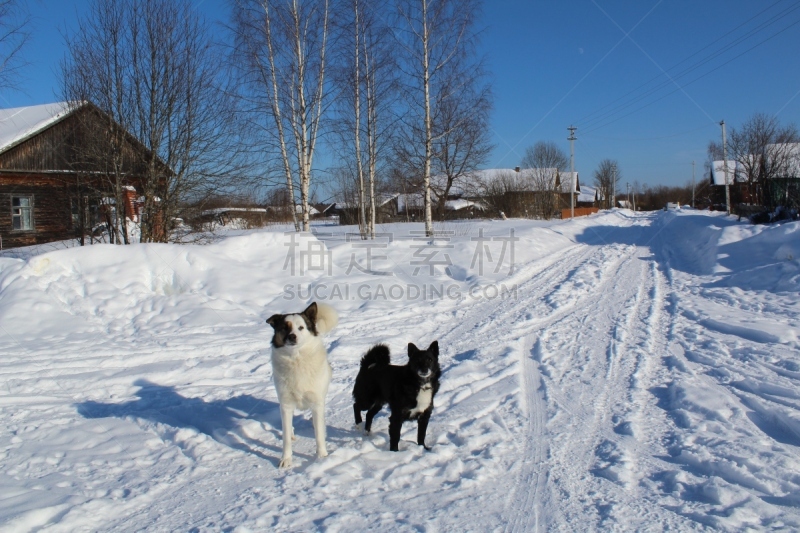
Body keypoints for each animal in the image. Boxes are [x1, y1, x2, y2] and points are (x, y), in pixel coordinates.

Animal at [264, 302, 336, 468]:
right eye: (285, 327)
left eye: (301, 327)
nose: (292, 336)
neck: (296, 359)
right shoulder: (286, 404)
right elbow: (285, 438)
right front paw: (286, 459)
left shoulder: (316, 402)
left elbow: (319, 435)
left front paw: (322, 457)